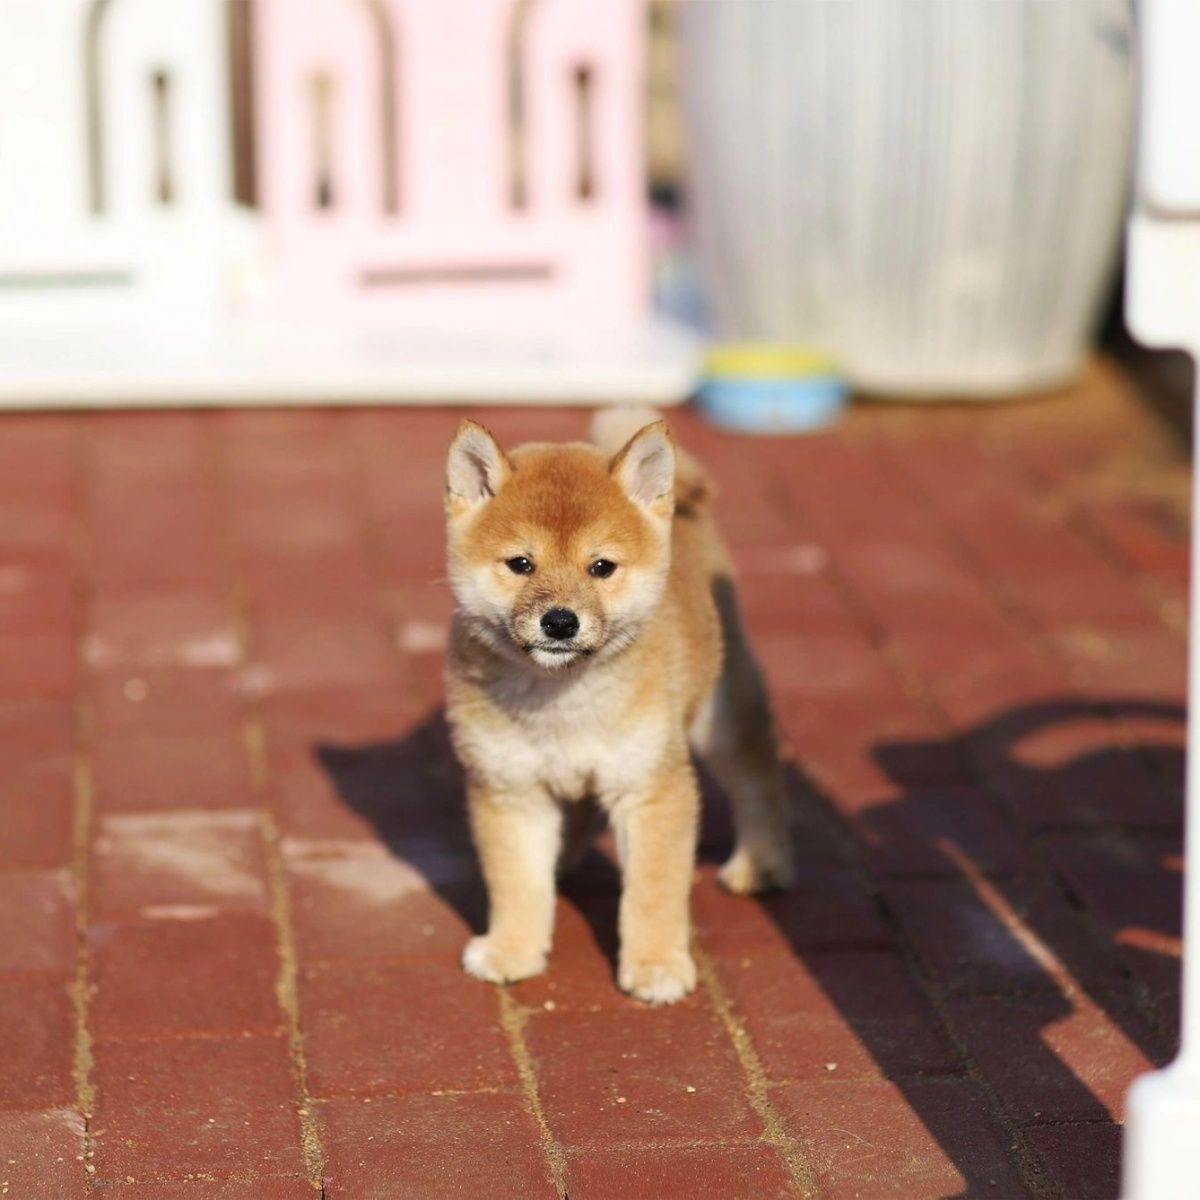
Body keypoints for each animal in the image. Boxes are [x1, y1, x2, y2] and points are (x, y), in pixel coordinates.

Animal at [446, 412, 792, 1003]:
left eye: (601, 567)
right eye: (521, 563)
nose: (560, 622)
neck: (562, 701)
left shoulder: (651, 788)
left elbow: (651, 892)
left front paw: (654, 965)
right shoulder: (509, 789)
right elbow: (516, 882)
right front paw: (512, 949)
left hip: (721, 712)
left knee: (758, 777)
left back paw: (761, 862)